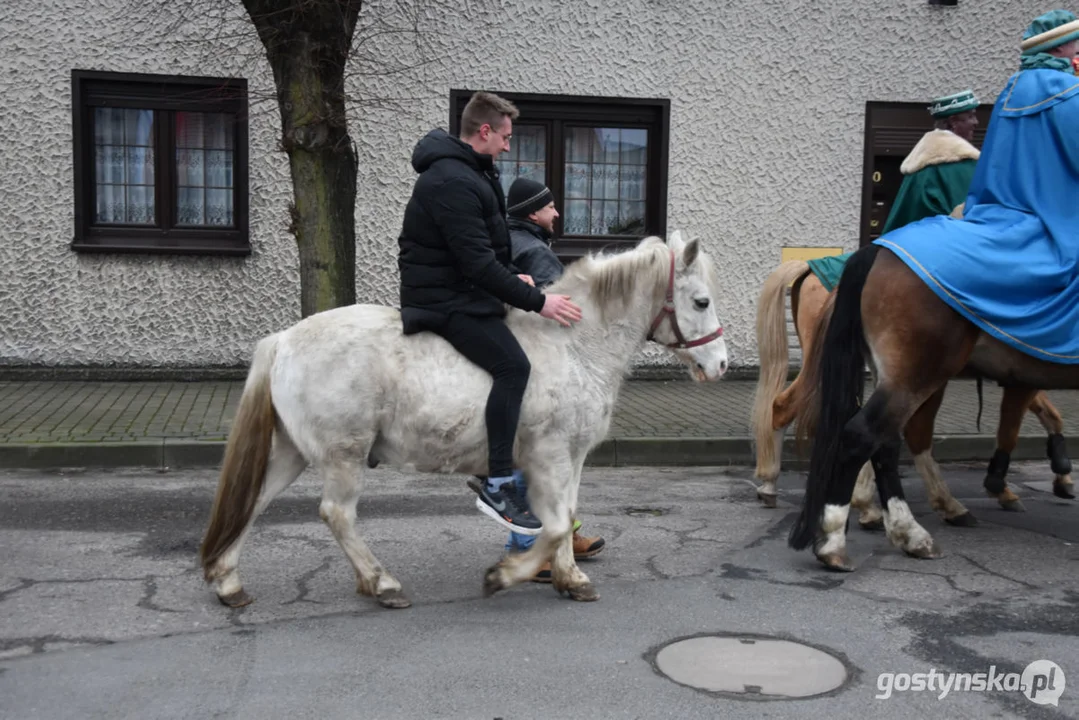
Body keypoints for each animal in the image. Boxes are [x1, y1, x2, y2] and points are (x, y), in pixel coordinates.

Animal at [198, 231, 729, 608]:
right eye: (701, 301)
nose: (721, 365)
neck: (573, 346)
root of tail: (284, 339)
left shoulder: (571, 457)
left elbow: (568, 517)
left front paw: (571, 578)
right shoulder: (548, 457)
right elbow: (556, 525)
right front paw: (504, 575)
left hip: (293, 452)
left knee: (255, 502)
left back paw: (229, 583)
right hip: (343, 454)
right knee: (337, 514)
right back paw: (382, 583)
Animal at [789, 245, 1074, 569]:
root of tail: (878, 249)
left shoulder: (1021, 377)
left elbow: (1030, 422)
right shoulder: (1022, 378)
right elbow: (1015, 426)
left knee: (888, 441)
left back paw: (908, 530)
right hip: (916, 374)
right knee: (865, 435)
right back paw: (836, 539)